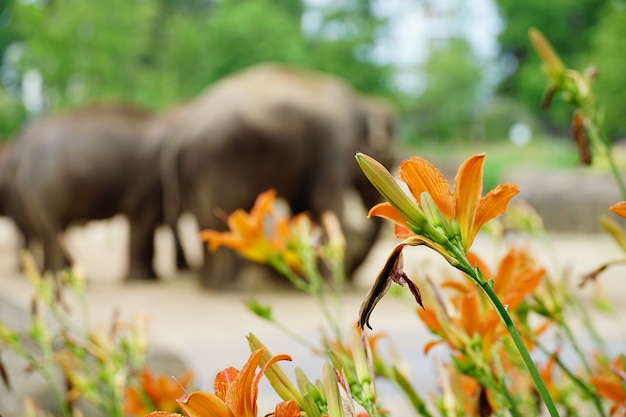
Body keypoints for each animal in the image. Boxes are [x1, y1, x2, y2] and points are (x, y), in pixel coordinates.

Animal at [0, 104, 185, 280]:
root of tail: (19, 155)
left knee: (49, 230)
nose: (183, 267)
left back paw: (55, 276)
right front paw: (144, 278)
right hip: (46, 188)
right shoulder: (148, 179)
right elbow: (143, 219)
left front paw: (148, 276)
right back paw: (61, 277)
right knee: (53, 229)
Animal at [152, 62, 394, 290]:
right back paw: (229, 287)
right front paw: (333, 286)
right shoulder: (334, 149)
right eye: (387, 157)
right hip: (213, 163)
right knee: (218, 214)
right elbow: (325, 202)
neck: (362, 101)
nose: (351, 277)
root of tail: (181, 130)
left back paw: (213, 284)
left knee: (203, 218)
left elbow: (302, 206)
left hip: (192, 174)